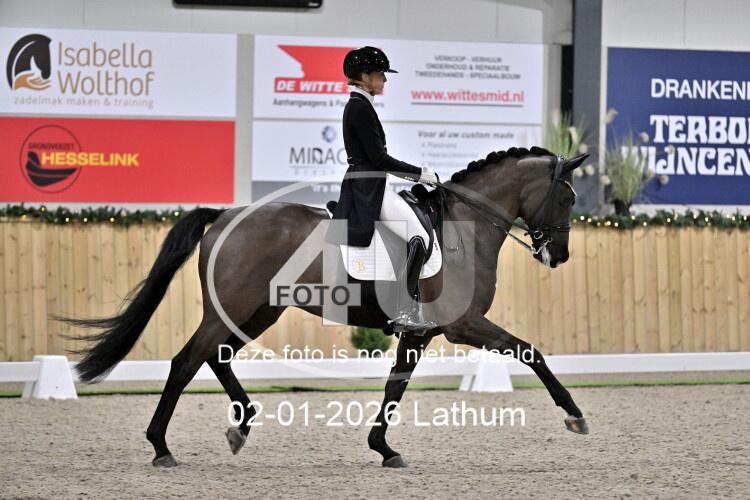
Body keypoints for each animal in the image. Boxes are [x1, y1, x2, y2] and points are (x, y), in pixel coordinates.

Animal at [63, 146, 589, 468]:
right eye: (566, 197)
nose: (559, 256)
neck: (464, 228)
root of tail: (225, 215)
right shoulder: (464, 325)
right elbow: (530, 351)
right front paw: (575, 415)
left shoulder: (419, 332)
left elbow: (395, 388)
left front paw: (383, 448)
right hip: (232, 307)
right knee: (186, 360)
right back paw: (161, 446)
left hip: (259, 311)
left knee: (216, 356)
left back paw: (241, 425)